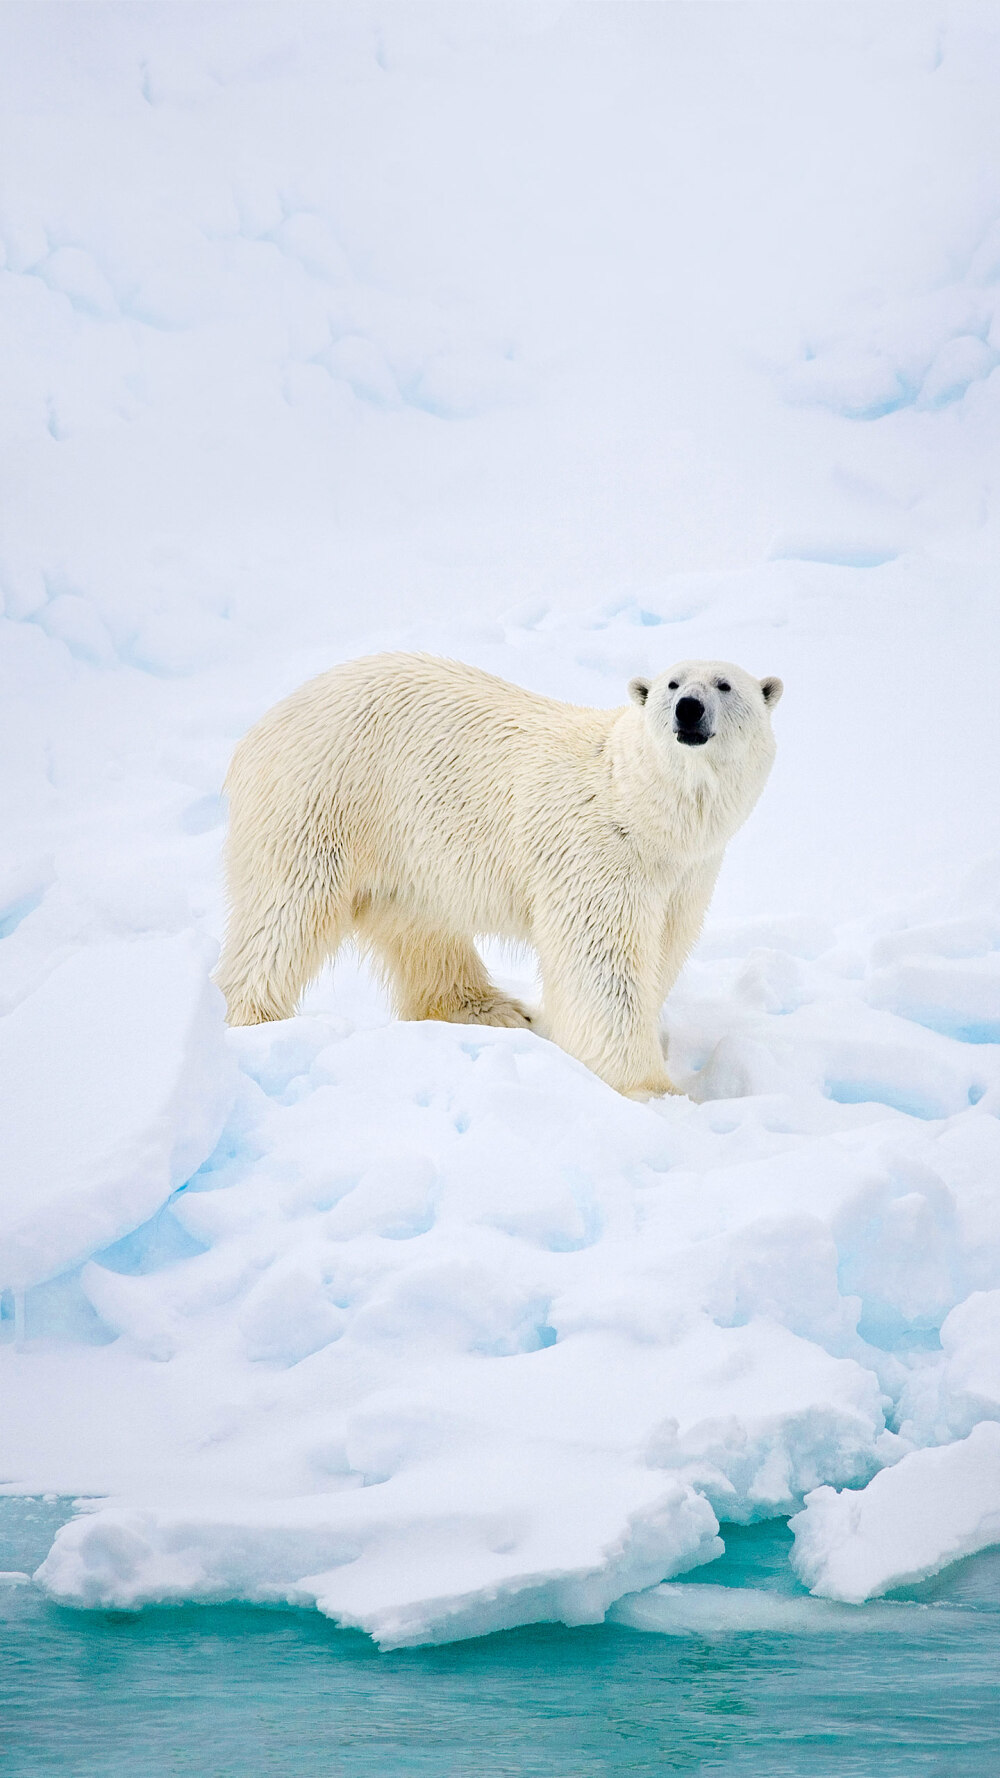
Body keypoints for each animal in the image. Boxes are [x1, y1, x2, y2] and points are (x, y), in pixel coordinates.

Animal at [216, 654, 779, 1095]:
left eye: (725, 685)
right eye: (672, 684)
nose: (689, 709)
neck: (637, 806)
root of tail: (267, 722)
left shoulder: (687, 874)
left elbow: (663, 948)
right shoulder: (598, 855)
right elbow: (604, 966)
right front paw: (648, 1088)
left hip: (405, 843)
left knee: (419, 923)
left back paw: (490, 1009)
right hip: (322, 798)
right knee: (287, 910)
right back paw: (256, 1019)